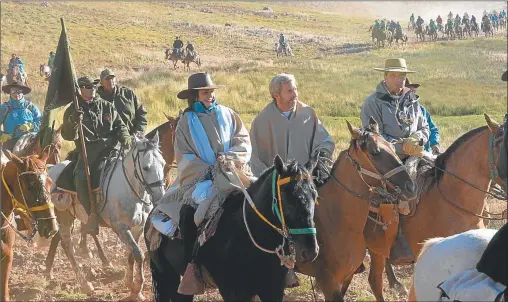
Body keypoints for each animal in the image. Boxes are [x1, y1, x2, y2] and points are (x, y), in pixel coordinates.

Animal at [44, 134, 165, 300]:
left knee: (59, 239)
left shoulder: (137, 228)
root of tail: (51, 170)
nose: (160, 196)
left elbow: (132, 254)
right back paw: (85, 284)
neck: (130, 191)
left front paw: (132, 286)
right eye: (146, 167)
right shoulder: (120, 228)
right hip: (63, 215)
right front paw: (136, 287)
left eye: (163, 164)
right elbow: (138, 254)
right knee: (67, 245)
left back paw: (48, 271)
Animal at [147, 153, 320, 302]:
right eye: (286, 197)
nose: (310, 251)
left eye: (315, 195)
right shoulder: (234, 292)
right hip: (167, 276)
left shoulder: (272, 290)